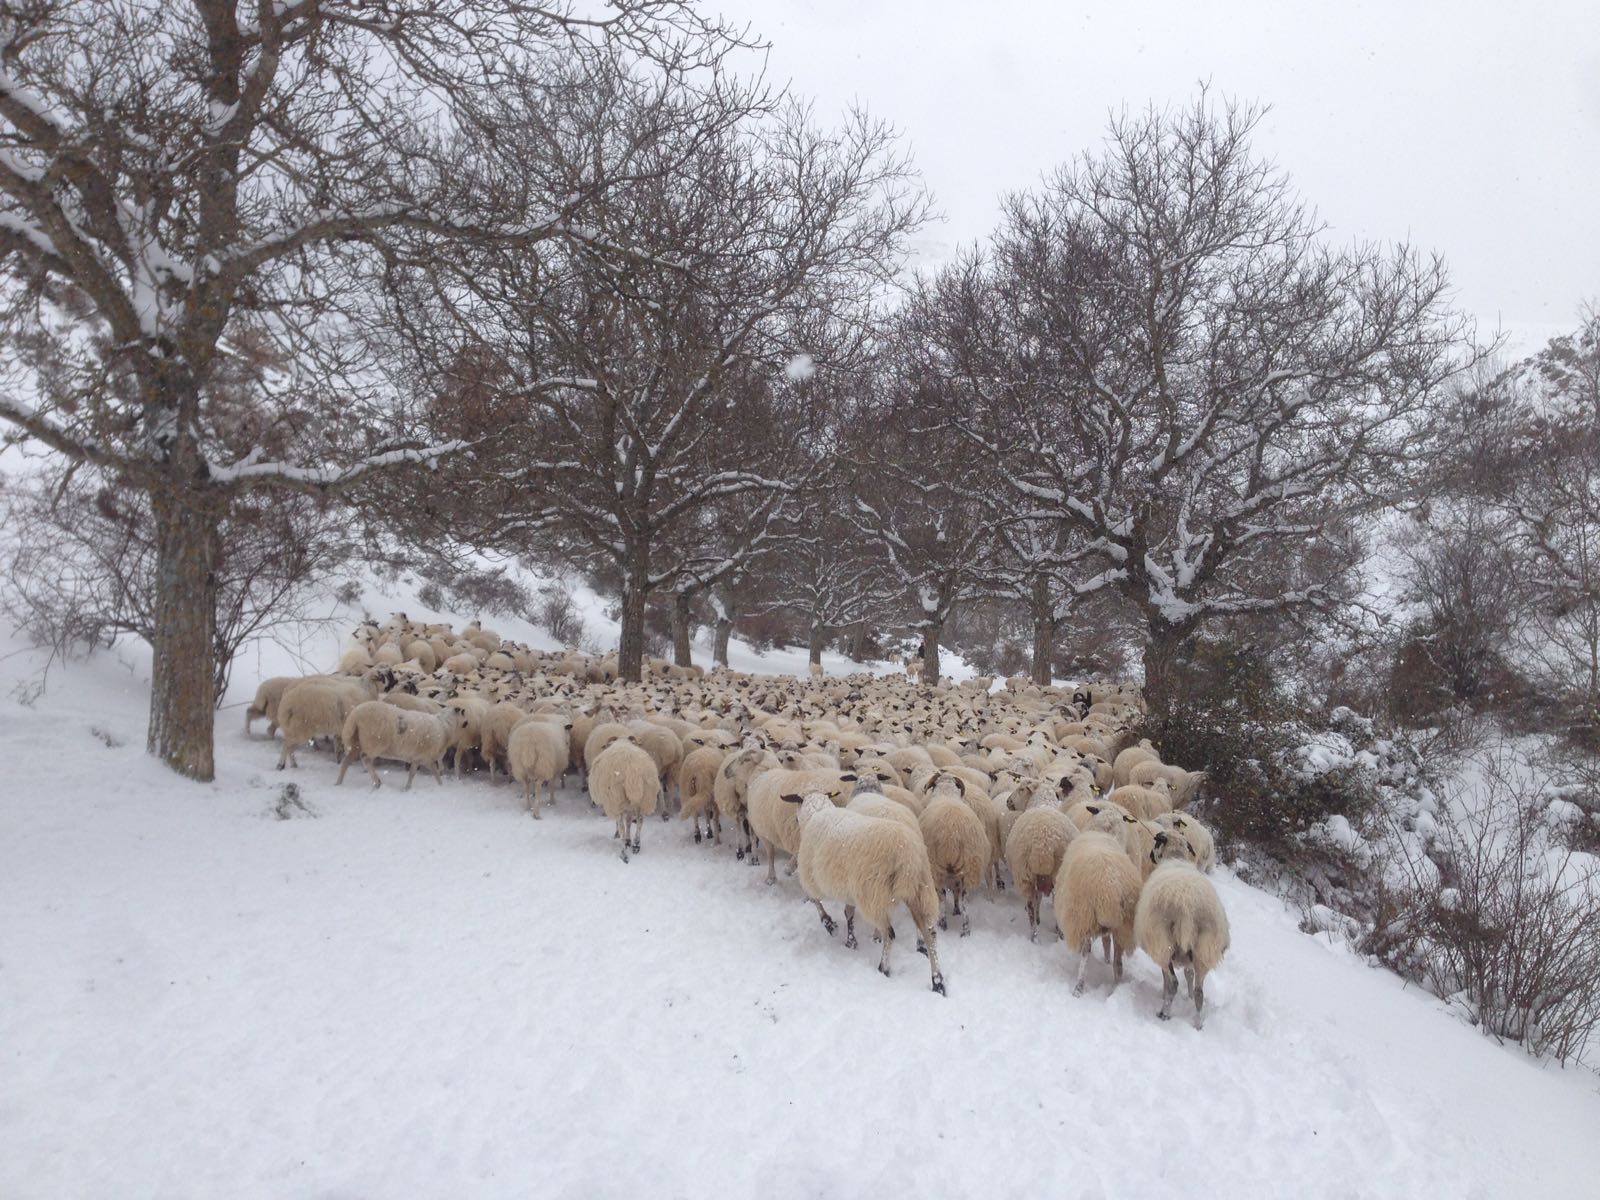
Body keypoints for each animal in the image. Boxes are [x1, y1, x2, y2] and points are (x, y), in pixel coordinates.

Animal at [334, 700, 467, 793]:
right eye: (463, 712)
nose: (467, 723)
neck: (445, 727)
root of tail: (354, 716)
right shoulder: (426, 758)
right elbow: (434, 772)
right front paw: (441, 786)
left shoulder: (418, 758)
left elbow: (413, 773)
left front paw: (407, 788)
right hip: (373, 744)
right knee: (365, 759)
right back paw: (377, 782)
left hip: (357, 742)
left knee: (346, 762)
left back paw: (338, 783)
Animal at [1056, 812, 1145, 998]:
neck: (1106, 832)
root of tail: (1110, 889)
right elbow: (1106, 941)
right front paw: (1106, 959)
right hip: (1123, 928)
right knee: (1118, 963)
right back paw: (1116, 988)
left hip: (1083, 917)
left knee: (1085, 953)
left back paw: (1078, 987)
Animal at [1132, 832, 1228, 1030]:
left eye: (1156, 843)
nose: (1150, 855)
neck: (1175, 857)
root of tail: (1188, 908)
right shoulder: (1189, 957)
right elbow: (1189, 975)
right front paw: (1188, 996)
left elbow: (1166, 979)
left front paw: (1163, 996)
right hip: (1204, 950)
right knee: (1200, 992)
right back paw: (1198, 1023)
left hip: (1163, 942)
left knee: (1173, 982)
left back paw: (1164, 1013)